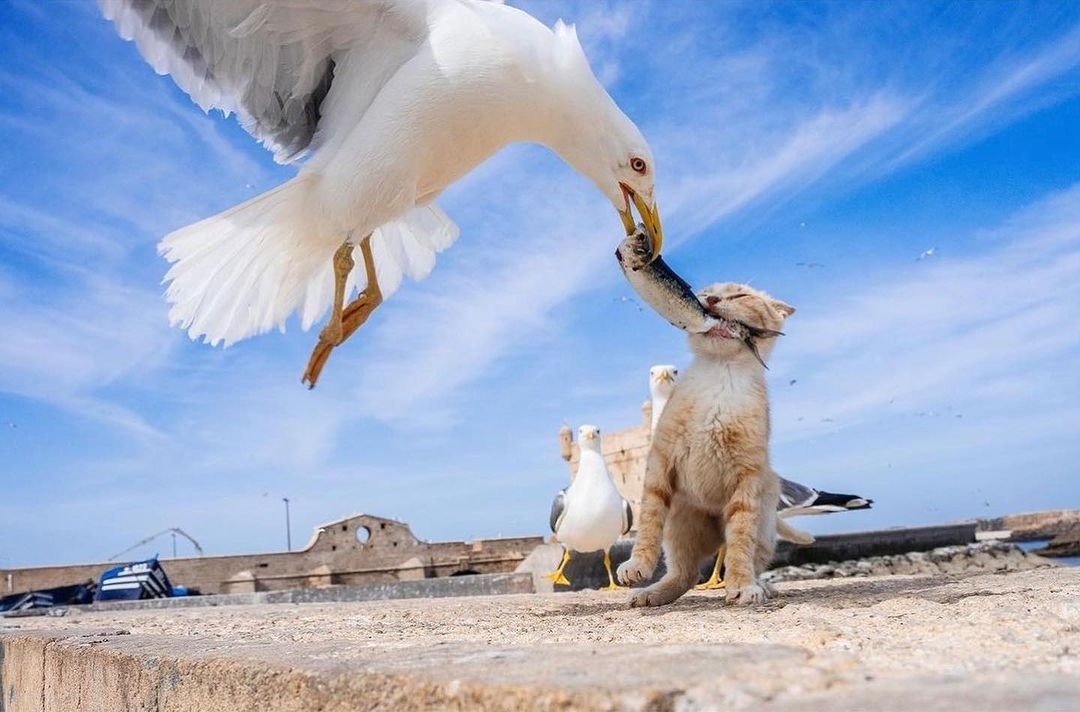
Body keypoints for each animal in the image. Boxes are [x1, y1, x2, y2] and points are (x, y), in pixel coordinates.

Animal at [617, 283, 794, 609]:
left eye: (740, 296)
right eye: (706, 291)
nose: (711, 300)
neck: (720, 376)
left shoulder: (748, 477)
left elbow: (740, 540)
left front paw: (742, 585)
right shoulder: (660, 462)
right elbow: (648, 521)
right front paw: (638, 564)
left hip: (764, 527)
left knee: (745, 558)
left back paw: (761, 586)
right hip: (679, 529)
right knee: (685, 574)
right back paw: (652, 593)